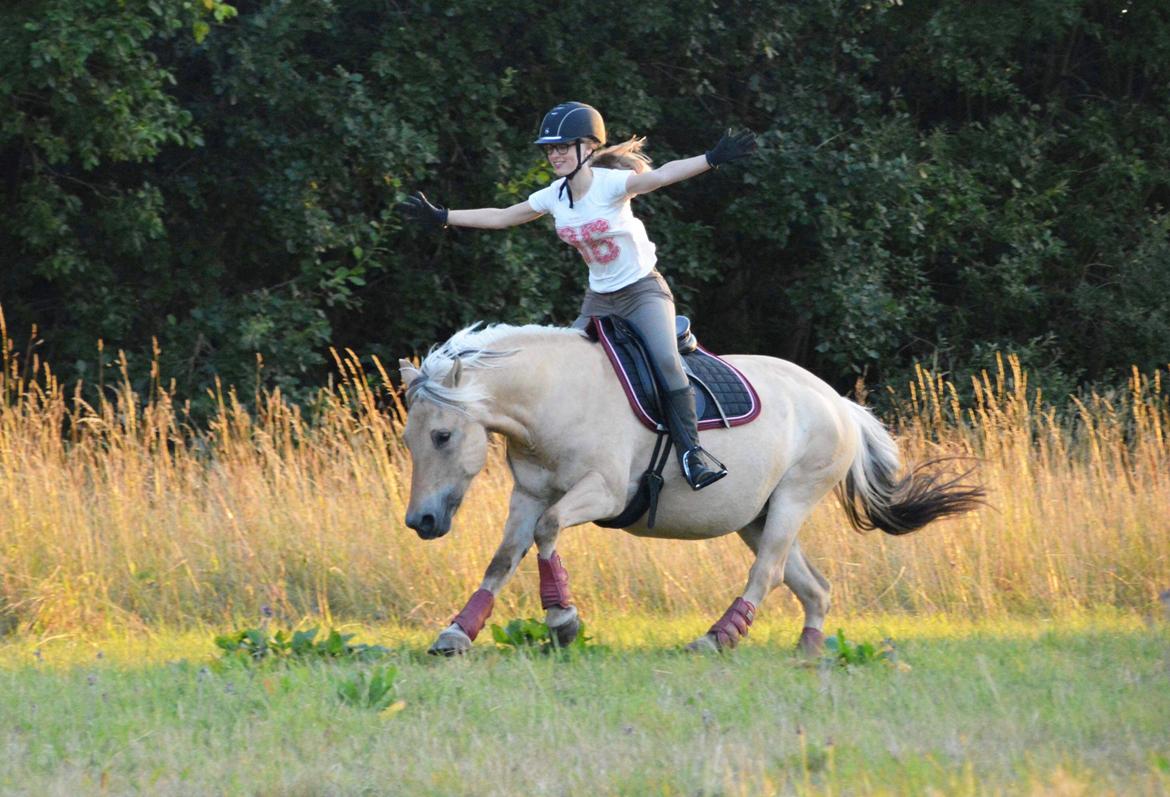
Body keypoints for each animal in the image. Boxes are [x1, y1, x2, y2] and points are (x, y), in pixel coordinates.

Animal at [397, 320, 982, 650]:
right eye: (409, 439)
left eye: (443, 435)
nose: (420, 521)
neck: (555, 394)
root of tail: (839, 404)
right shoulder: (529, 494)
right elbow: (504, 558)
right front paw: (457, 632)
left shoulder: (600, 492)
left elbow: (549, 529)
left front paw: (563, 620)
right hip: (756, 516)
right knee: (813, 587)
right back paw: (809, 652)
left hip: (794, 500)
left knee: (768, 573)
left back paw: (717, 638)